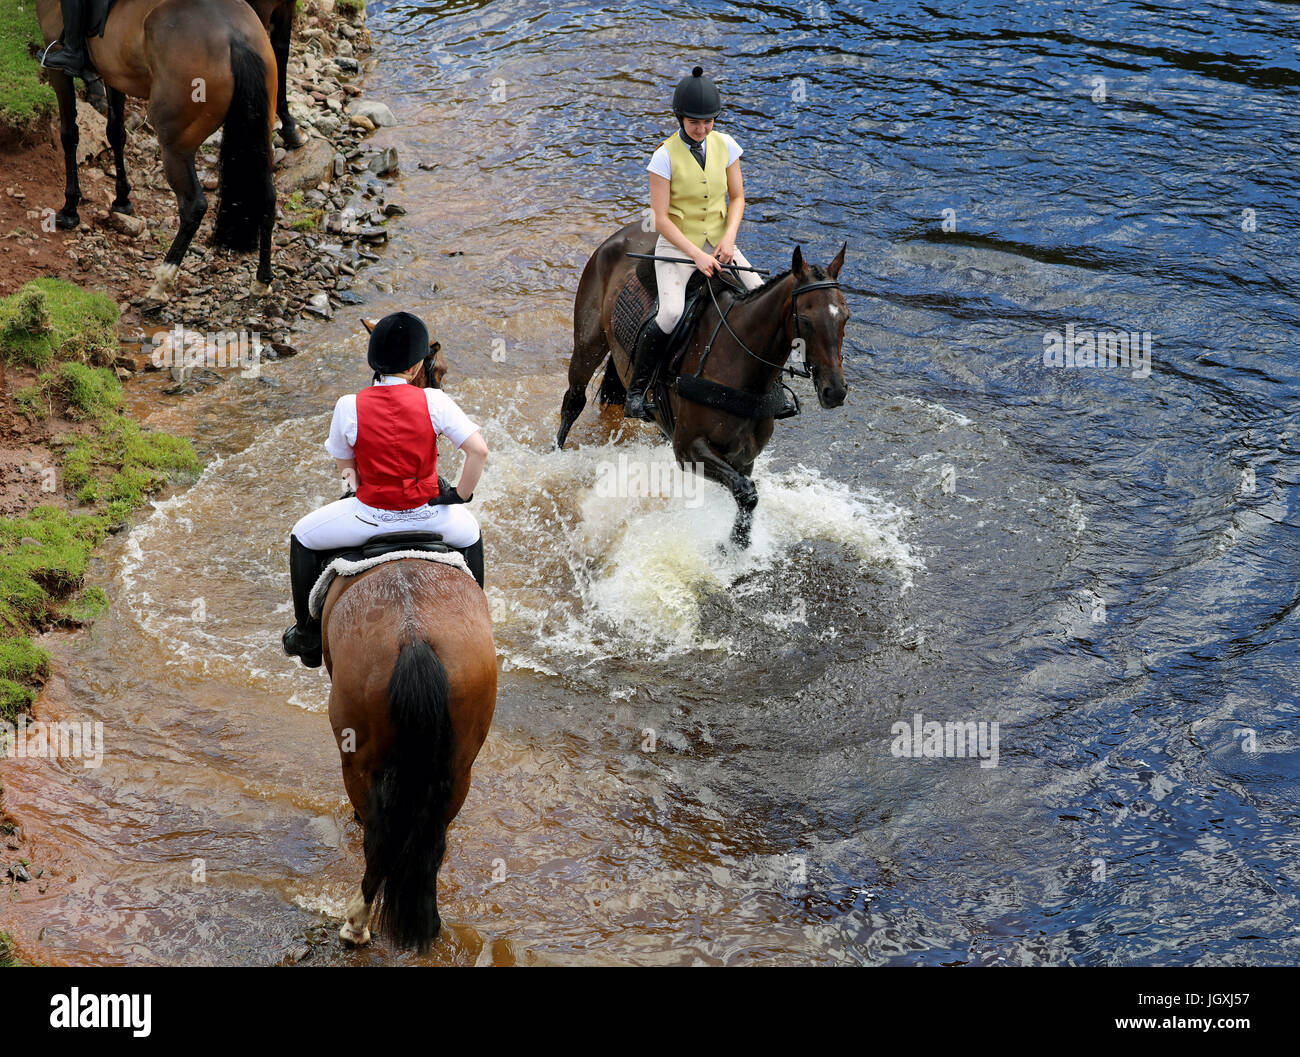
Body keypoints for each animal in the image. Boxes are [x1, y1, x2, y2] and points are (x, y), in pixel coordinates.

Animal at [36, 0, 275, 301]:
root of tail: (235, 38)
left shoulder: (58, 69)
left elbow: (69, 135)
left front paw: (70, 207)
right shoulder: (115, 73)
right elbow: (116, 133)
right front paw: (122, 199)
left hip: (176, 146)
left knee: (193, 205)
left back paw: (162, 279)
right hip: (260, 133)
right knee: (268, 196)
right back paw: (262, 279)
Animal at [559, 224, 852, 553]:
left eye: (845, 316)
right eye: (805, 320)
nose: (835, 391)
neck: (740, 365)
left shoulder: (744, 456)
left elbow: (743, 493)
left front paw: (737, 543)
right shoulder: (689, 448)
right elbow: (746, 492)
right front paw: (734, 546)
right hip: (587, 344)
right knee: (573, 401)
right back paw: (555, 456)